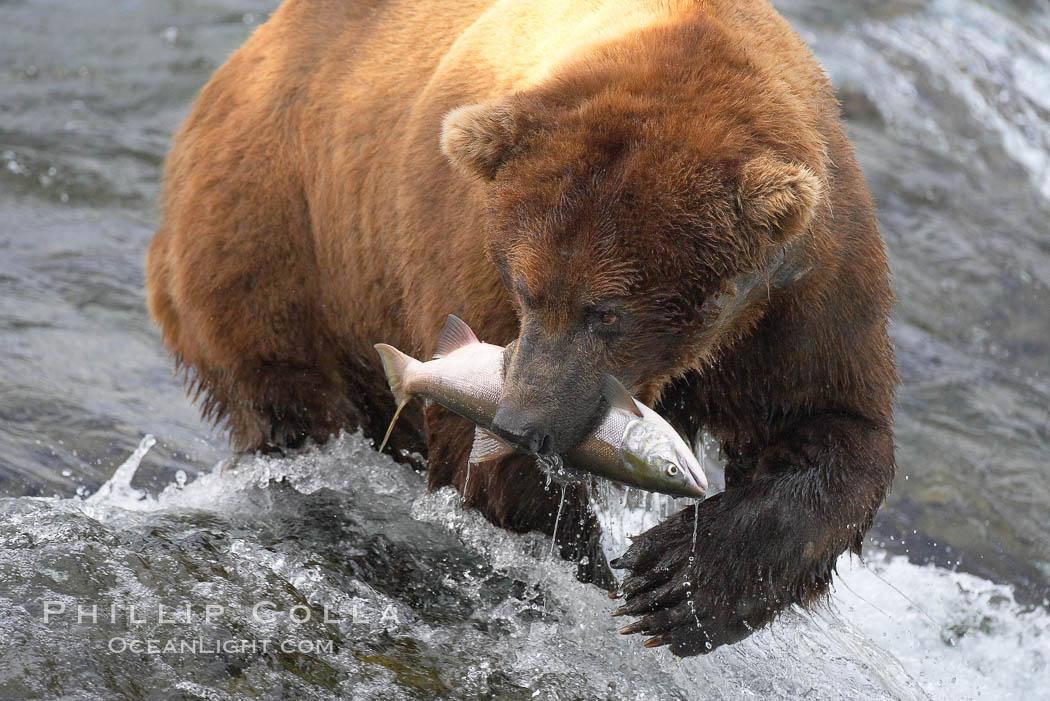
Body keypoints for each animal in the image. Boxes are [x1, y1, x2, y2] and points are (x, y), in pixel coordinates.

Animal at [145, 0, 894, 659]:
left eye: (608, 311)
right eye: (528, 288)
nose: (521, 420)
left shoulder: (805, 292)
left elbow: (832, 430)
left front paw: (680, 583)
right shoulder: (468, 256)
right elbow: (486, 460)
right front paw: (595, 560)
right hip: (277, 241)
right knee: (293, 396)